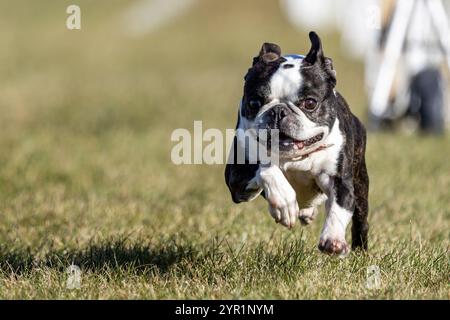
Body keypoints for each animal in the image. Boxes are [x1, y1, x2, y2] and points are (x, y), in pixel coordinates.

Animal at [225, 32, 370, 256]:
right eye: (254, 103)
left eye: (310, 103)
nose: (278, 111)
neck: (294, 158)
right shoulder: (236, 181)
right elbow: (265, 166)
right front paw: (283, 199)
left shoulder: (340, 180)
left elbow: (339, 207)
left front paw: (333, 239)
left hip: (361, 183)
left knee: (361, 221)